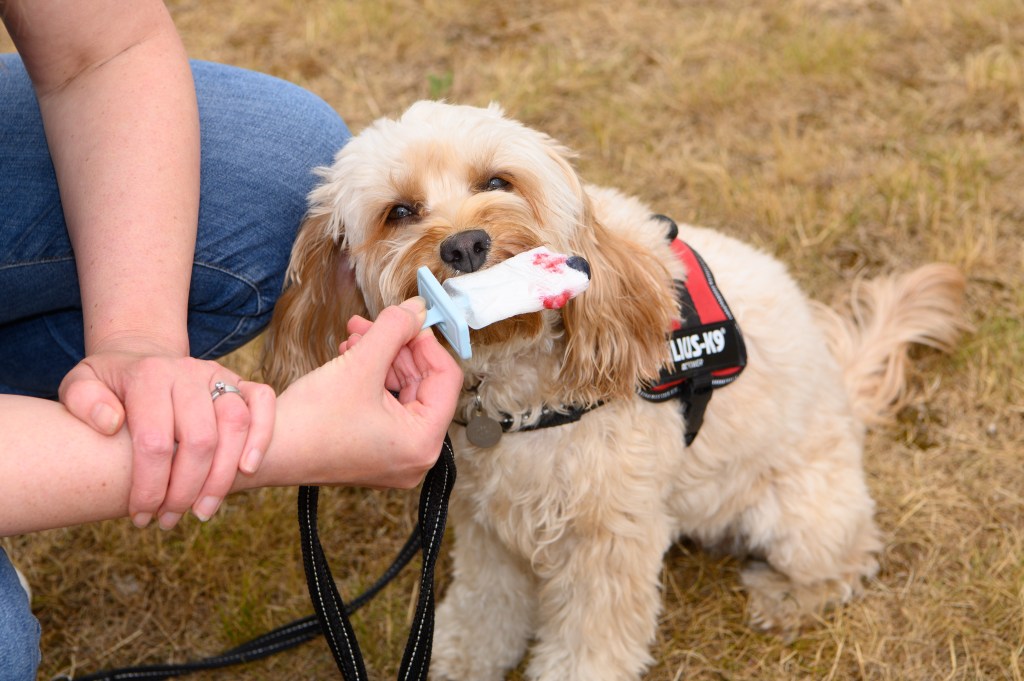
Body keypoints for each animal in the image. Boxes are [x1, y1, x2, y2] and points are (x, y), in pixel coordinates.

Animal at [260, 100, 962, 679]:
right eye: (399, 212)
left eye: (498, 182)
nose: (464, 245)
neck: (516, 391)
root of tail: (842, 392)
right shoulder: (487, 526)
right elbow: (486, 608)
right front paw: (463, 659)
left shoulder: (609, 543)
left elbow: (587, 648)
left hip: (802, 518)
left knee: (849, 559)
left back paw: (784, 598)